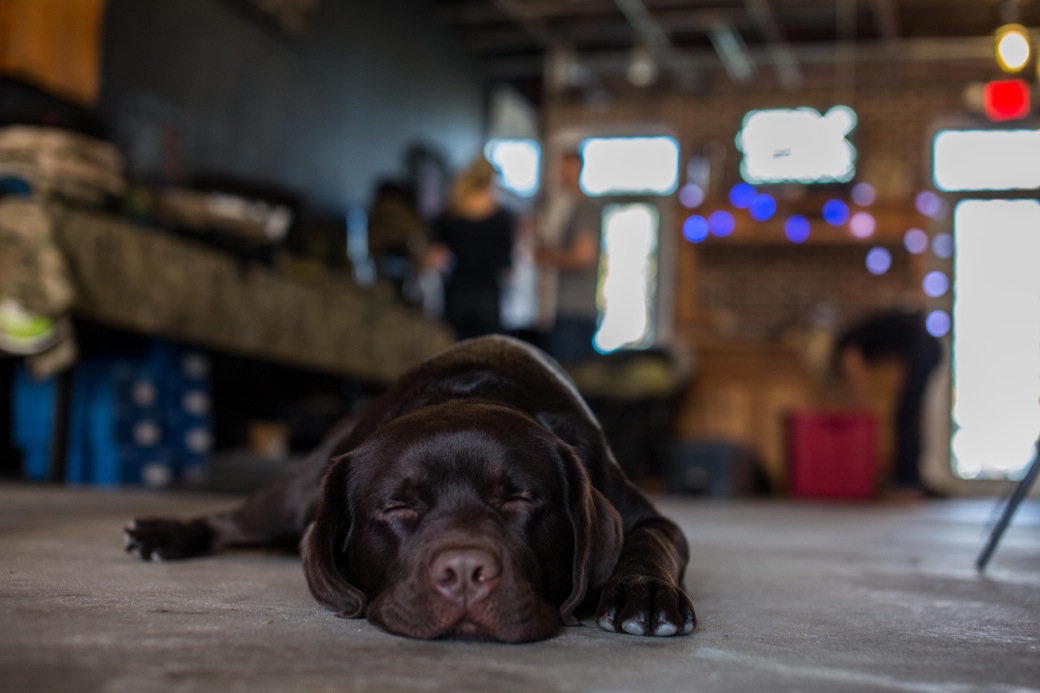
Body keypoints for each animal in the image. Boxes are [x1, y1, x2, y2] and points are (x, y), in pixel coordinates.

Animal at [125, 335, 694, 640]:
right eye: (397, 506)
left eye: (519, 499)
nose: (464, 573)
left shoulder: (648, 516)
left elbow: (649, 541)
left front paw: (643, 592)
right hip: (297, 495)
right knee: (230, 519)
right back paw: (162, 533)